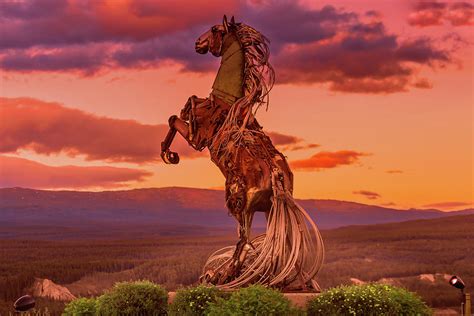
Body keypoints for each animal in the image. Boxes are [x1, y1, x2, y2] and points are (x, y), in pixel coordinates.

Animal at [161, 16, 324, 290]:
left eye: (215, 29)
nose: (197, 43)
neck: (227, 103)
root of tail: (277, 174)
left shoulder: (197, 138)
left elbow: (176, 117)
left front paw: (168, 153)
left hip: (241, 204)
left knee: (246, 241)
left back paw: (224, 276)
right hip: (270, 210)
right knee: (280, 245)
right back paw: (278, 280)